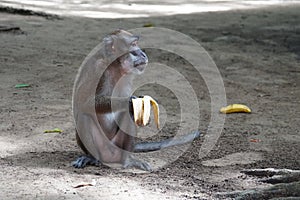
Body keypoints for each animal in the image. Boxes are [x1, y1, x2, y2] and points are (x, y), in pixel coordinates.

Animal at [71, 29, 200, 172]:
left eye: (137, 43)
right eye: (133, 44)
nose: (143, 53)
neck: (114, 66)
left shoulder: (127, 76)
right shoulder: (96, 69)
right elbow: (84, 103)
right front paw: (130, 101)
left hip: (117, 146)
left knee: (129, 114)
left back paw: (127, 159)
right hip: (101, 146)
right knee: (85, 116)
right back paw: (93, 158)